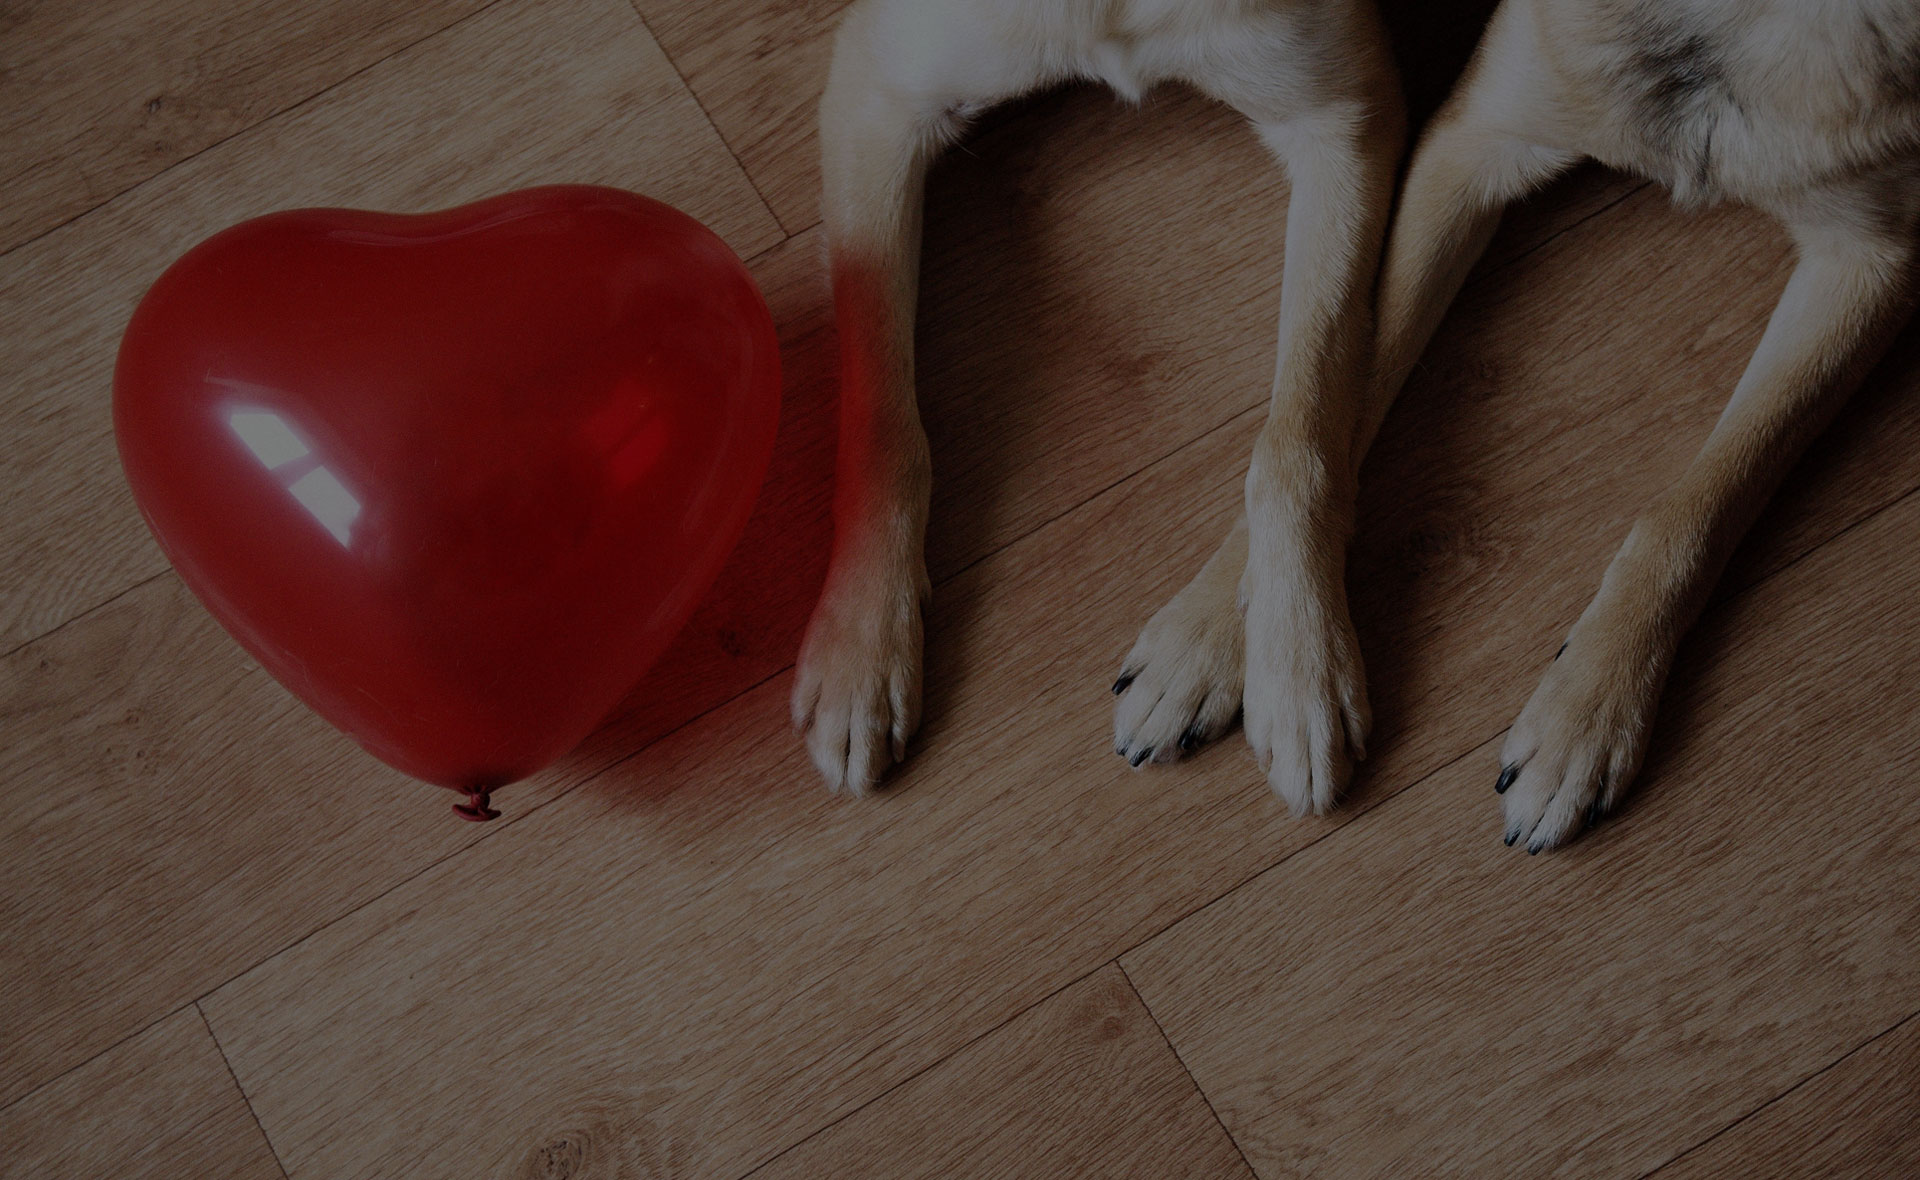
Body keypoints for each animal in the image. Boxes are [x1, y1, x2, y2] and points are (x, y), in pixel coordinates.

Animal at [787, 0, 1405, 813]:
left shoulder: (1342, 115)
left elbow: (1295, 438)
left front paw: (1302, 662)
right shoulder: (877, 89)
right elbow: (882, 419)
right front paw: (861, 643)